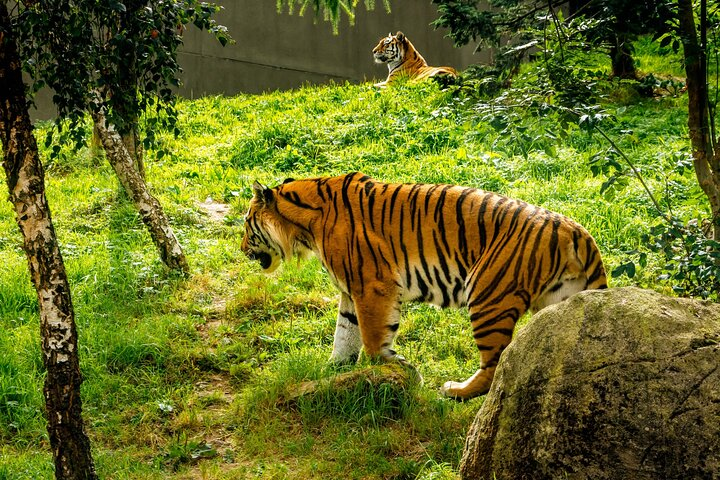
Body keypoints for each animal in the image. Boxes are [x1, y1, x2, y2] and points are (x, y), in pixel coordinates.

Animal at [241, 173, 607, 400]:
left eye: (246, 224)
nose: (242, 250)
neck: (305, 227)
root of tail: (577, 232)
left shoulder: (372, 286)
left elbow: (372, 340)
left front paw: (401, 371)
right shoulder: (350, 291)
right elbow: (344, 334)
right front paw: (332, 371)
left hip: (486, 295)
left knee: (494, 363)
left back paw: (455, 391)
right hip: (561, 304)